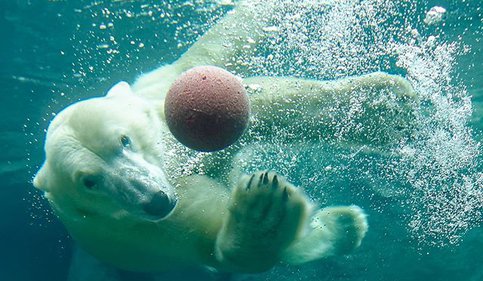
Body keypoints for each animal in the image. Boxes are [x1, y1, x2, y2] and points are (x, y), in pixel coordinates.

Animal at [32, 0, 416, 272]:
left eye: (123, 140)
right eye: (89, 182)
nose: (154, 200)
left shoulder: (164, 96)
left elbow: (247, 83)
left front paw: (381, 108)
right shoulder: (136, 234)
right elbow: (217, 247)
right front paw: (264, 209)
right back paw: (345, 224)